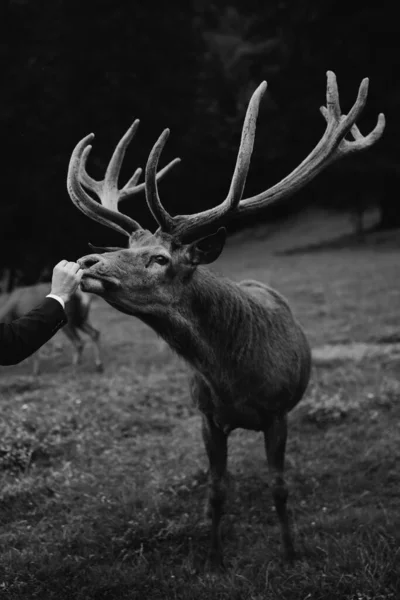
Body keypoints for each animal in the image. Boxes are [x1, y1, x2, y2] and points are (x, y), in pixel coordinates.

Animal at [65, 71, 384, 568]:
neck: (234, 378)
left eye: (159, 258)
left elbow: (280, 487)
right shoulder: (207, 417)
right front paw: (213, 559)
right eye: (125, 247)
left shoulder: (277, 413)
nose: (89, 261)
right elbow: (215, 490)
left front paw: (291, 553)